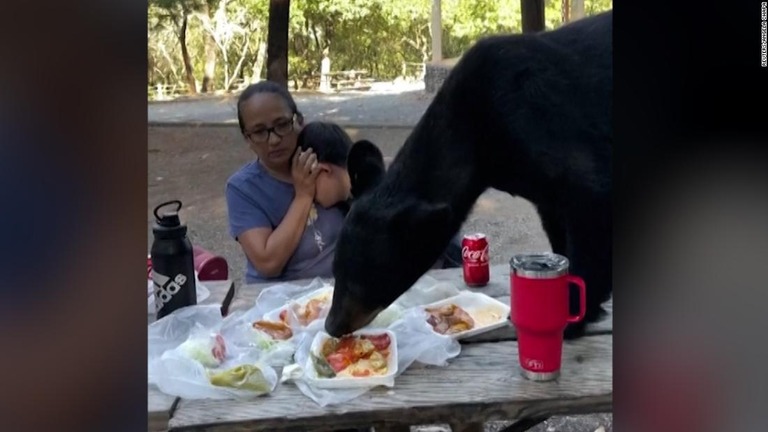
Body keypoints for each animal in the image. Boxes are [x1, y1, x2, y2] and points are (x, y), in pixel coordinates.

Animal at [328, 11, 612, 340]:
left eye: (364, 282)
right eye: (336, 271)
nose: (332, 325)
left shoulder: (542, 119)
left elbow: (589, 198)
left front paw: (573, 315)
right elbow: (555, 218)